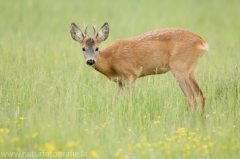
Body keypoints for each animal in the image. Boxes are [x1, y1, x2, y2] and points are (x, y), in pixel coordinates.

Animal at [70, 21, 208, 110]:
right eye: (83, 48)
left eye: (97, 48)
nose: (90, 61)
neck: (110, 61)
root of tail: (203, 43)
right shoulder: (120, 81)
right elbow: (115, 101)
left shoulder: (131, 74)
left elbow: (130, 100)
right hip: (190, 70)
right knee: (201, 95)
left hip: (179, 67)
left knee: (191, 97)